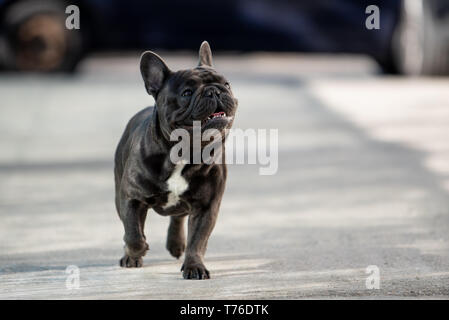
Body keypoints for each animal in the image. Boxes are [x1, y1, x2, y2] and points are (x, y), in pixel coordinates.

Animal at [114, 41, 236, 278]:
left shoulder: (206, 207)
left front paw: (194, 266)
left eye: (227, 83)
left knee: (178, 217)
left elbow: (197, 240)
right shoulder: (131, 197)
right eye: (187, 92)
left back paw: (176, 244)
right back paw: (131, 255)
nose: (215, 90)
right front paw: (137, 251)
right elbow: (133, 233)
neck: (186, 152)